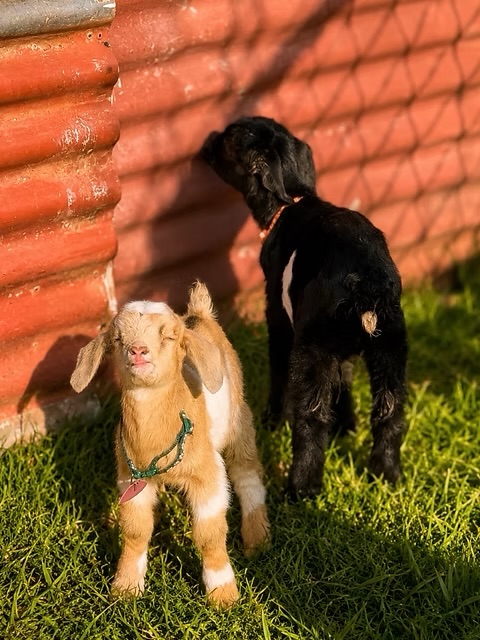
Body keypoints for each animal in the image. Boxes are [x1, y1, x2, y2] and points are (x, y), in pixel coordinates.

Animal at [70, 282, 270, 607]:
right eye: (117, 339)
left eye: (169, 336)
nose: (138, 350)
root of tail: (198, 314)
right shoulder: (130, 478)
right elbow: (136, 530)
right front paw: (126, 587)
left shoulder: (207, 476)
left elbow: (209, 533)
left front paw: (222, 593)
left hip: (239, 420)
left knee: (247, 474)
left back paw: (257, 538)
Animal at [202, 116, 408, 498]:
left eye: (228, 141)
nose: (207, 140)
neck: (291, 200)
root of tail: (368, 281)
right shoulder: (339, 350)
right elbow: (345, 380)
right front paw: (347, 428)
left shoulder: (278, 315)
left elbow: (279, 372)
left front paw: (271, 421)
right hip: (390, 347)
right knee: (390, 412)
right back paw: (386, 475)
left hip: (311, 350)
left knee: (311, 418)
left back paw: (300, 489)